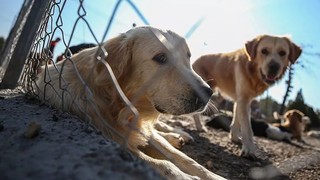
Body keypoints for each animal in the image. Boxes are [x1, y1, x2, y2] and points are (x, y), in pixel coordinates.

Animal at [35, 25, 225, 180]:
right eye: (161, 58)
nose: (208, 93)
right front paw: (186, 177)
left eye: (188, 57)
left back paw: (177, 135)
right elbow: (164, 164)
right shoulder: (113, 140)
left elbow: (185, 159)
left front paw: (214, 176)